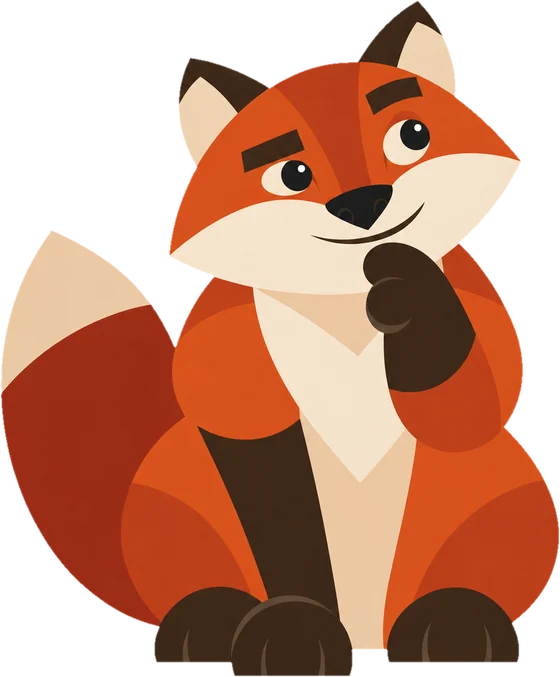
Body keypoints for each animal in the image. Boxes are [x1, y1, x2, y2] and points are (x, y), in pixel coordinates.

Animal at [0, 0, 557, 672]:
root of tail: (371, 633)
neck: (345, 311)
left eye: (412, 136)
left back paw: (453, 625)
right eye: (293, 173)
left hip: (507, 501)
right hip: (176, 503)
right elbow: (287, 543)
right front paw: (292, 635)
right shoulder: (240, 390)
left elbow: (472, 404)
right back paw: (210, 623)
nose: (364, 204)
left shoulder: (475, 311)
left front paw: (411, 294)